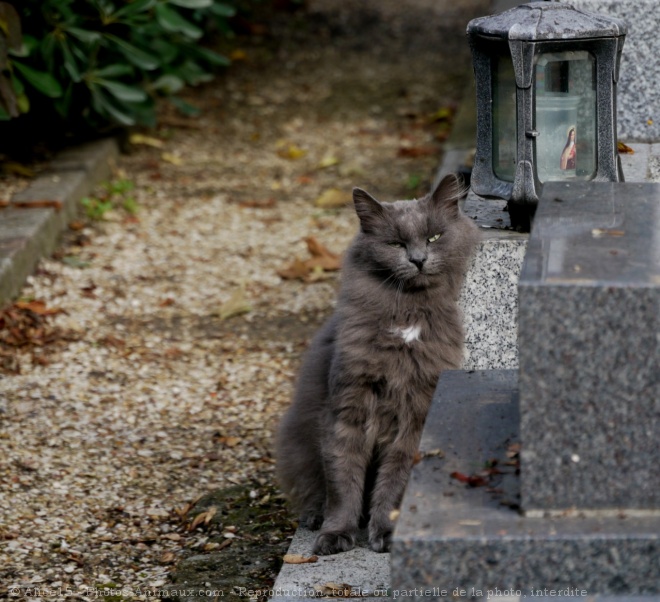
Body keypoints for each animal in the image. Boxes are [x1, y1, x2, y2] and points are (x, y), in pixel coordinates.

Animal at [276, 173, 476, 552]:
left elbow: (395, 480)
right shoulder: (347, 407)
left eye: (434, 237)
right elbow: (342, 480)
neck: (406, 316)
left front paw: (385, 532)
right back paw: (314, 518)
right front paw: (336, 534)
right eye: (395, 243)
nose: (418, 259)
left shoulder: (416, 415)